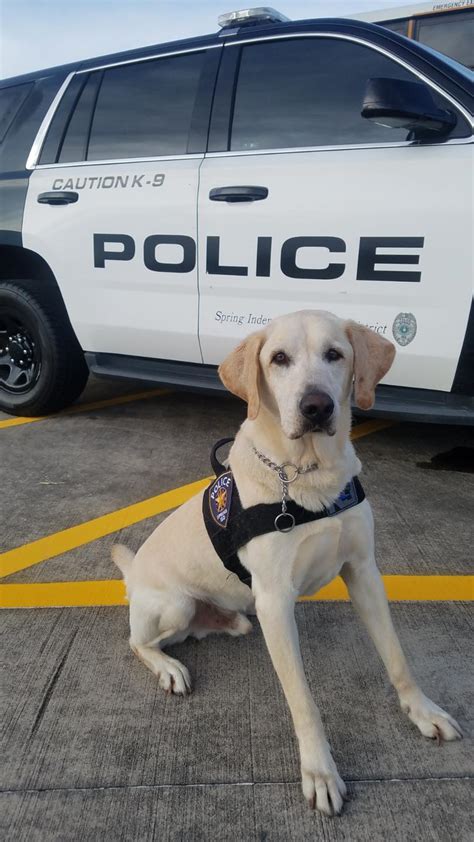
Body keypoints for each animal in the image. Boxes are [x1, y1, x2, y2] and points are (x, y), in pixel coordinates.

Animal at [112, 310, 462, 817]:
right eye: (279, 359)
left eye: (335, 354)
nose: (316, 407)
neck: (308, 477)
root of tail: (133, 574)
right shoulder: (276, 602)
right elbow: (303, 701)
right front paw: (320, 772)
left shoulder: (364, 572)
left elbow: (397, 659)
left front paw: (423, 712)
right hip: (174, 605)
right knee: (137, 642)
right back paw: (168, 668)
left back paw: (225, 623)